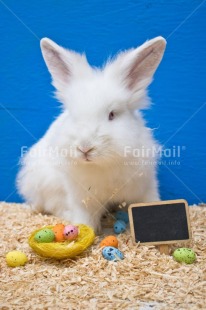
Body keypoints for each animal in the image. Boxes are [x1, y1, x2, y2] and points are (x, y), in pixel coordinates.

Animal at [16, 36, 167, 232]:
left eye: (112, 115)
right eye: (73, 115)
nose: (85, 148)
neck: (102, 164)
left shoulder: (146, 185)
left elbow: (150, 201)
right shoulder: (82, 198)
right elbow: (85, 218)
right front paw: (82, 231)